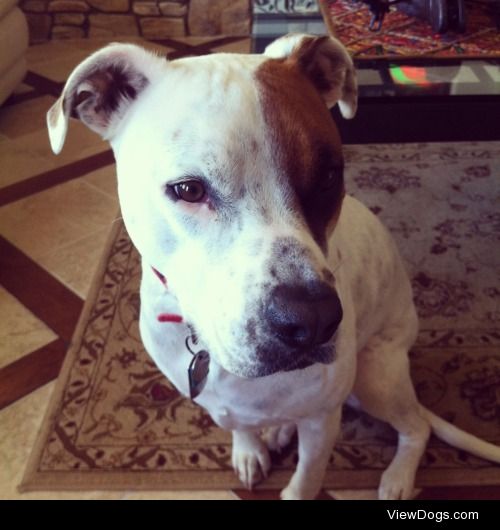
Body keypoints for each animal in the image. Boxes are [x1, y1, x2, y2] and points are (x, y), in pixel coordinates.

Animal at [47, 35, 500, 498]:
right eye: (188, 189)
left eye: (328, 177)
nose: (313, 321)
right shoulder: (221, 404)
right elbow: (238, 423)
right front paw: (249, 450)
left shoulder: (322, 421)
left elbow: (305, 480)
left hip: (377, 374)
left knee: (416, 426)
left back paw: (397, 477)